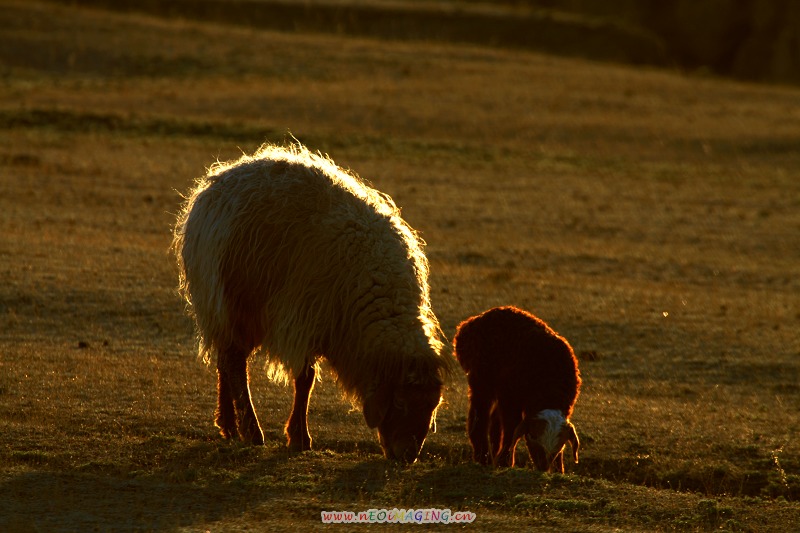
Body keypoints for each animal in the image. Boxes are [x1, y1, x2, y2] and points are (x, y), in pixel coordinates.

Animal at [454, 306, 580, 472]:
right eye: (532, 437)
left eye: (559, 446)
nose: (543, 468)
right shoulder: (510, 397)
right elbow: (512, 427)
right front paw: (505, 461)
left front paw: (560, 470)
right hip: (481, 378)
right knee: (479, 415)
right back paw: (483, 457)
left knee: (494, 421)